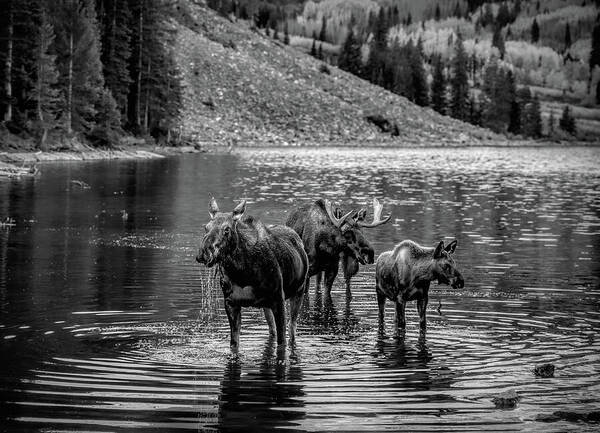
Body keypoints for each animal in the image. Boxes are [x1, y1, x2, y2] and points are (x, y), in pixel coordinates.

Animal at [198, 197, 310, 350]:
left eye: (227, 229)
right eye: (206, 227)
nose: (204, 253)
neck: (242, 272)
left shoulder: (279, 299)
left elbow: (282, 341)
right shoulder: (231, 302)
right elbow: (234, 344)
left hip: (299, 291)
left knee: (292, 329)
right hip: (266, 305)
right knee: (272, 330)